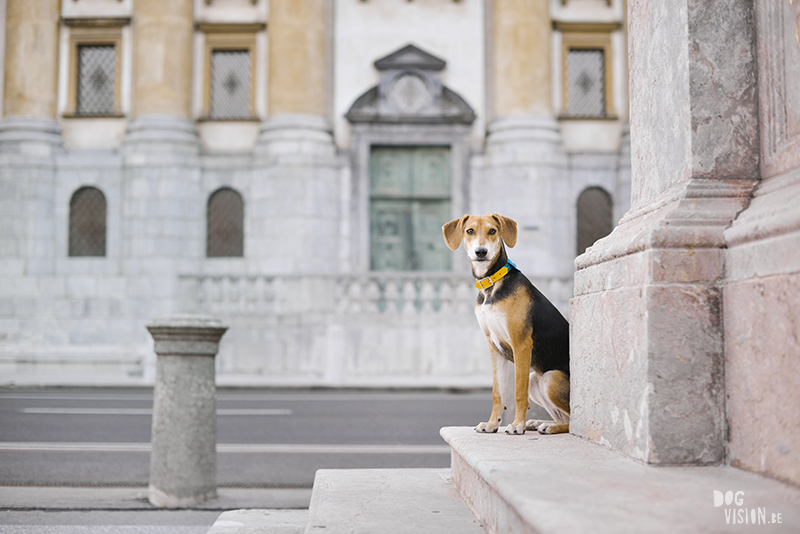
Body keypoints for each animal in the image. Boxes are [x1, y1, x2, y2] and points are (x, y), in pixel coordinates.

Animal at [444, 214, 568, 436]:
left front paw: (517, 425)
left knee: (576, 421)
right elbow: (497, 393)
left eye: (492, 231)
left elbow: (519, 391)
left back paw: (548, 426)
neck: (491, 284)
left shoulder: (521, 344)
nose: (481, 252)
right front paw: (492, 424)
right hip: (536, 379)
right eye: (469, 231)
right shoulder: (494, 347)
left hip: (550, 377)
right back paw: (540, 423)